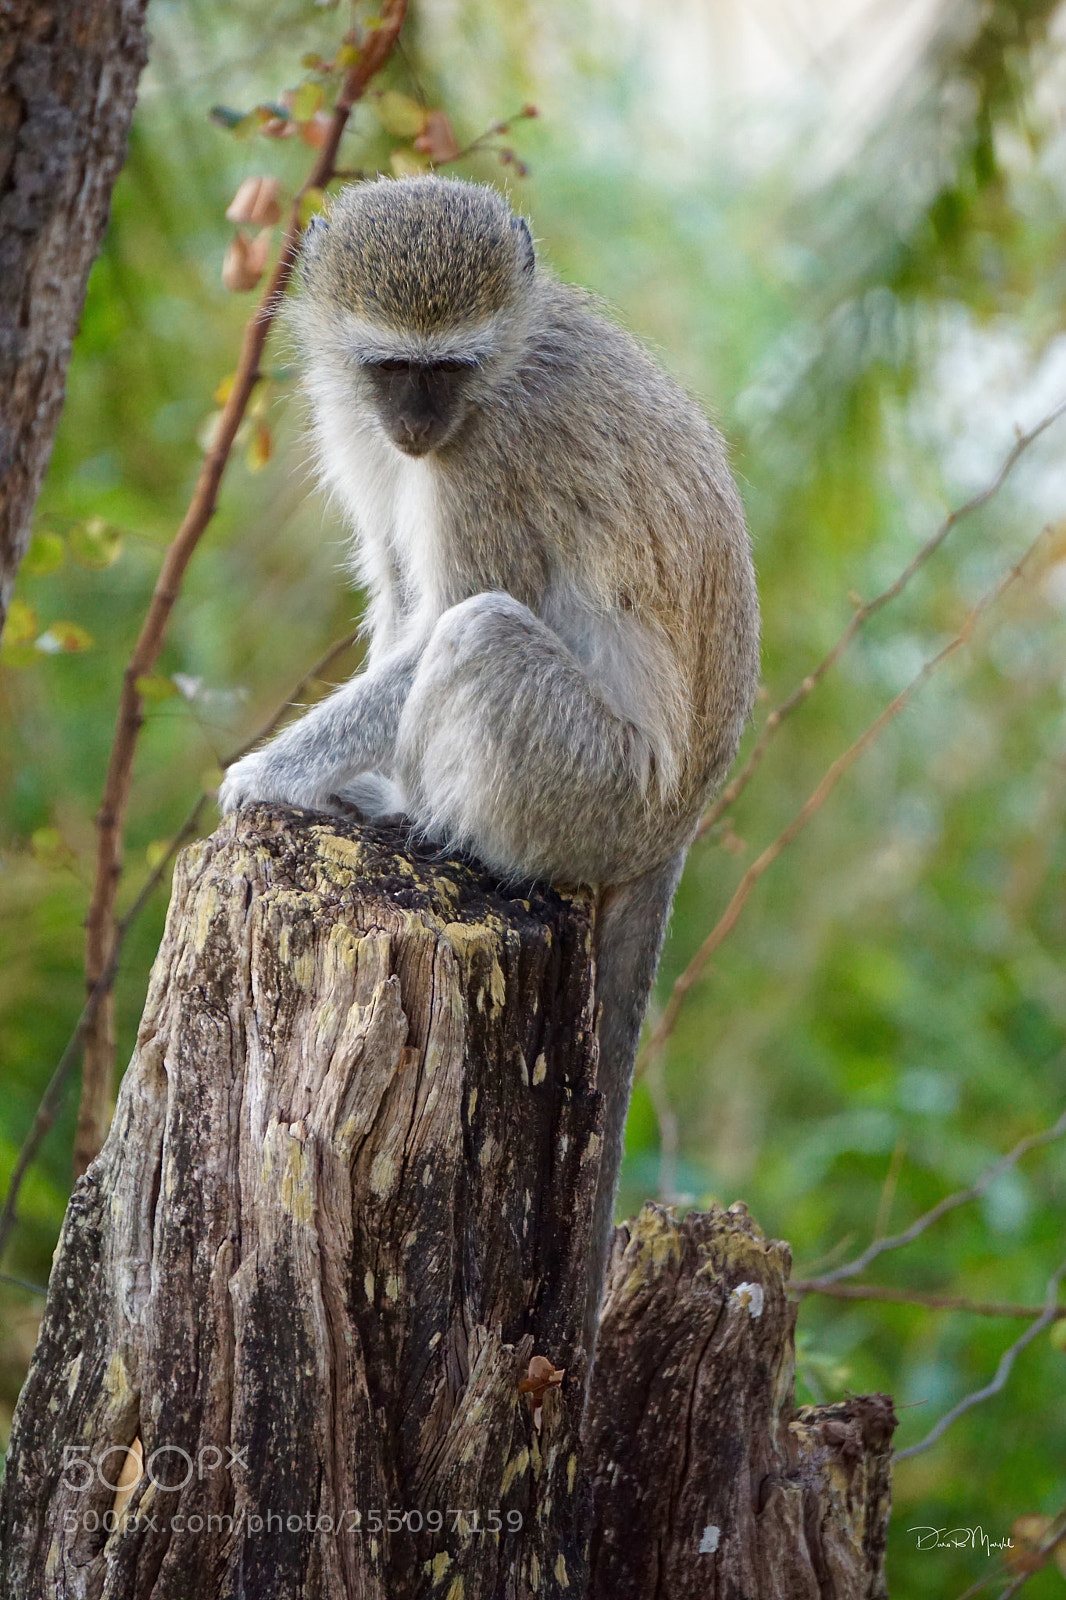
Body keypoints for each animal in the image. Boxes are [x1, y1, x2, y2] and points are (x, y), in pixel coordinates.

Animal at [219, 175, 760, 1349]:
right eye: (392, 369)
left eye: (449, 370)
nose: (418, 428)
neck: (504, 365)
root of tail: (679, 820)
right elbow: (397, 598)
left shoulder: (490, 458)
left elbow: (436, 624)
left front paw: (266, 777)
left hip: (587, 789)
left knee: (475, 636)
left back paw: (435, 822)